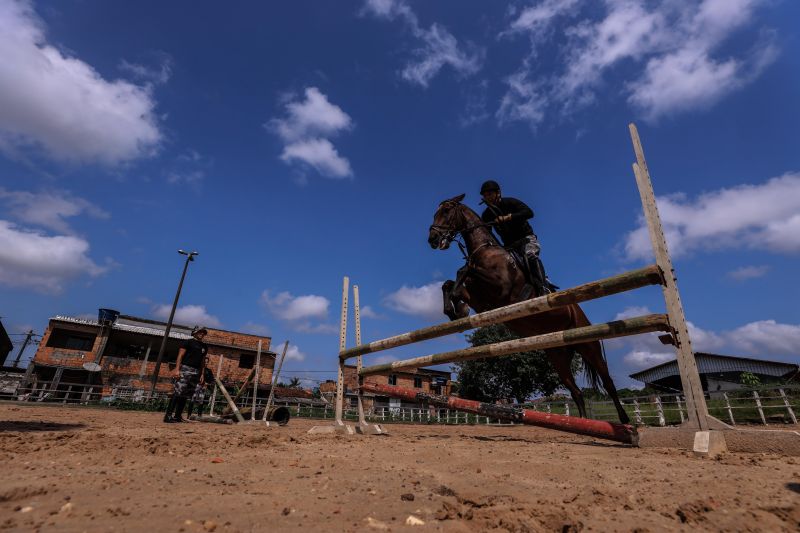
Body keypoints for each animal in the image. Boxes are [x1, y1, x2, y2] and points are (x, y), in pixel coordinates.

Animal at [428, 193, 628, 422]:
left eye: (446, 211)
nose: (432, 239)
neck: (485, 250)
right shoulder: (479, 299)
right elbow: (450, 283)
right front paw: (456, 311)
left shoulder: (500, 288)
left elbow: (464, 270)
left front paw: (458, 308)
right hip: (558, 355)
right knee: (576, 392)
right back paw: (582, 423)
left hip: (589, 346)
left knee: (608, 382)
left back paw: (625, 422)